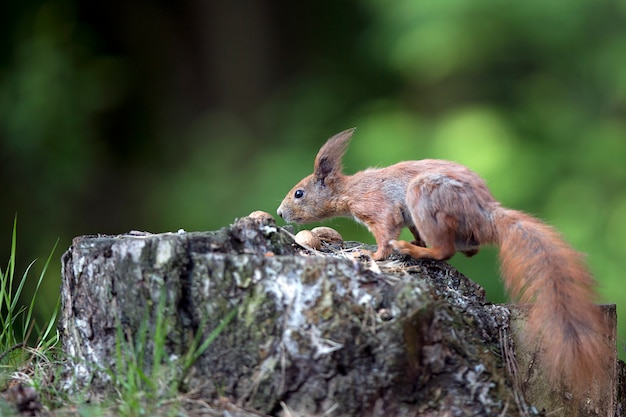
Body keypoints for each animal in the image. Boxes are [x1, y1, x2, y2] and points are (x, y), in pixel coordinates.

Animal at [276, 128, 604, 392]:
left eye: (299, 193)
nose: (279, 213)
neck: (349, 190)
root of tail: (485, 213)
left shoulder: (379, 207)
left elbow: (385, 233)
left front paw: (372, 255)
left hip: (426, 197)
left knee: (444, 250)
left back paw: (414, 251)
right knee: (466, 248)